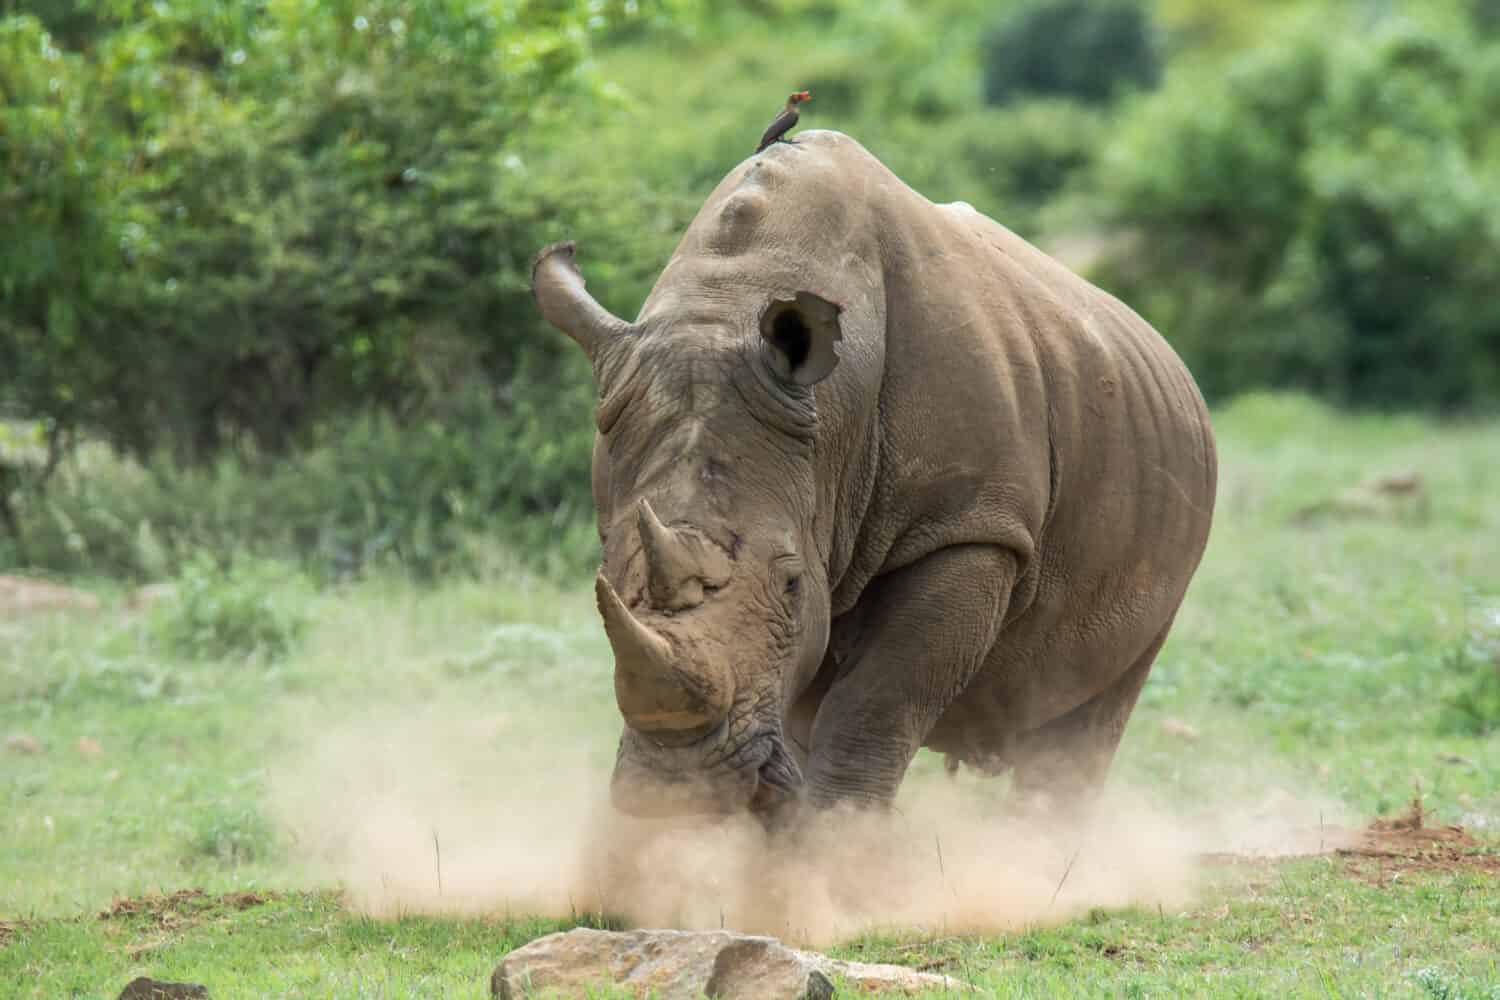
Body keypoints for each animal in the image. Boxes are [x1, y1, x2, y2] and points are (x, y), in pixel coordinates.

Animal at [534, 128, 1212, 821]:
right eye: (608, 575)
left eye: (791, 584)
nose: (672, 794)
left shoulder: (970, 526)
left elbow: (876, 704)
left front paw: (839, 837)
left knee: (1092, 717)